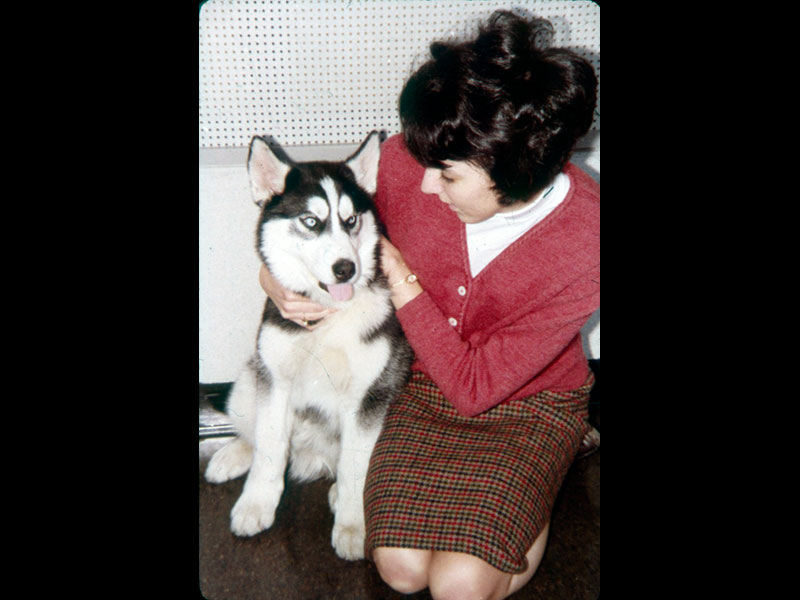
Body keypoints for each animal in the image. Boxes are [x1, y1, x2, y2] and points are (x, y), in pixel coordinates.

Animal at [206, 130, 412, 556]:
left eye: (351, 221)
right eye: (311, 221)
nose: (346, 269)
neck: (329, 318)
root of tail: (309, 454)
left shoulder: (368, 396)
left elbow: (354, 467)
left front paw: (352, 524)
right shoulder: (277, 382)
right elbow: (269, 449)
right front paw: (256, 505)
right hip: (251, 377)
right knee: (256, 433)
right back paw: (234, 453)